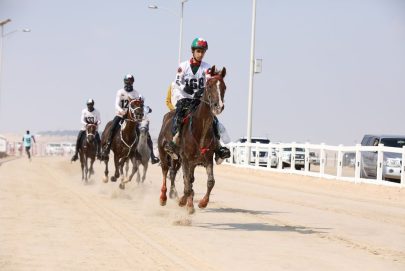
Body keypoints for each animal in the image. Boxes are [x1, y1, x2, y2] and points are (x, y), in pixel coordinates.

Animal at [157, 66, 226, 215]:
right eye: (209, 85)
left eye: (224, 86)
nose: (218, 106)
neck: (200, 129)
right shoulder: (185, 159)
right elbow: (187, 182)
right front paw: (186, 203)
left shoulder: (207, 159)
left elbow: (210, 182)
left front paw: (202, 203)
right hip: (164, 153)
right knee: (165, 171)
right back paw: (164, 197)